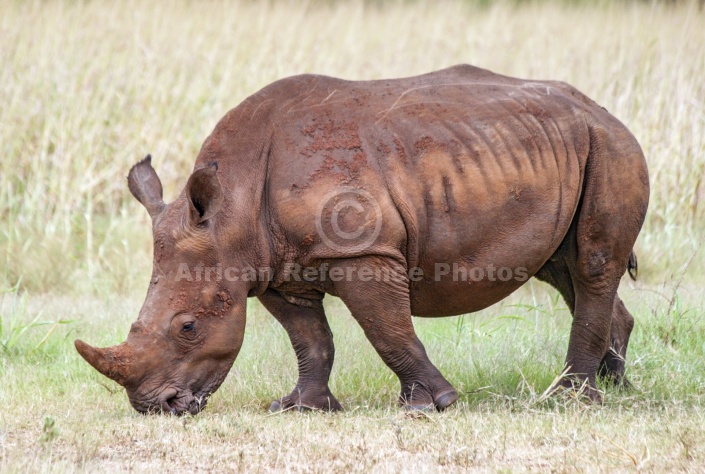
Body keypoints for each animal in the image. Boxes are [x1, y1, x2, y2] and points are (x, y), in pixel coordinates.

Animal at [74, 65, 648, 412]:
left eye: (188, 327)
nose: (154, 407)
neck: (232, 207)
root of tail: (602, 110)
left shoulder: (363, 253)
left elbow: (387, 331)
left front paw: (431, 405)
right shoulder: (275, 268)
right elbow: (311, 338)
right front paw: (301, 407)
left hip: (612, 146)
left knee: (592, 264)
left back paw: (570, 398)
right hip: (559, 150)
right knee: (564, 269)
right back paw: (616, 387)